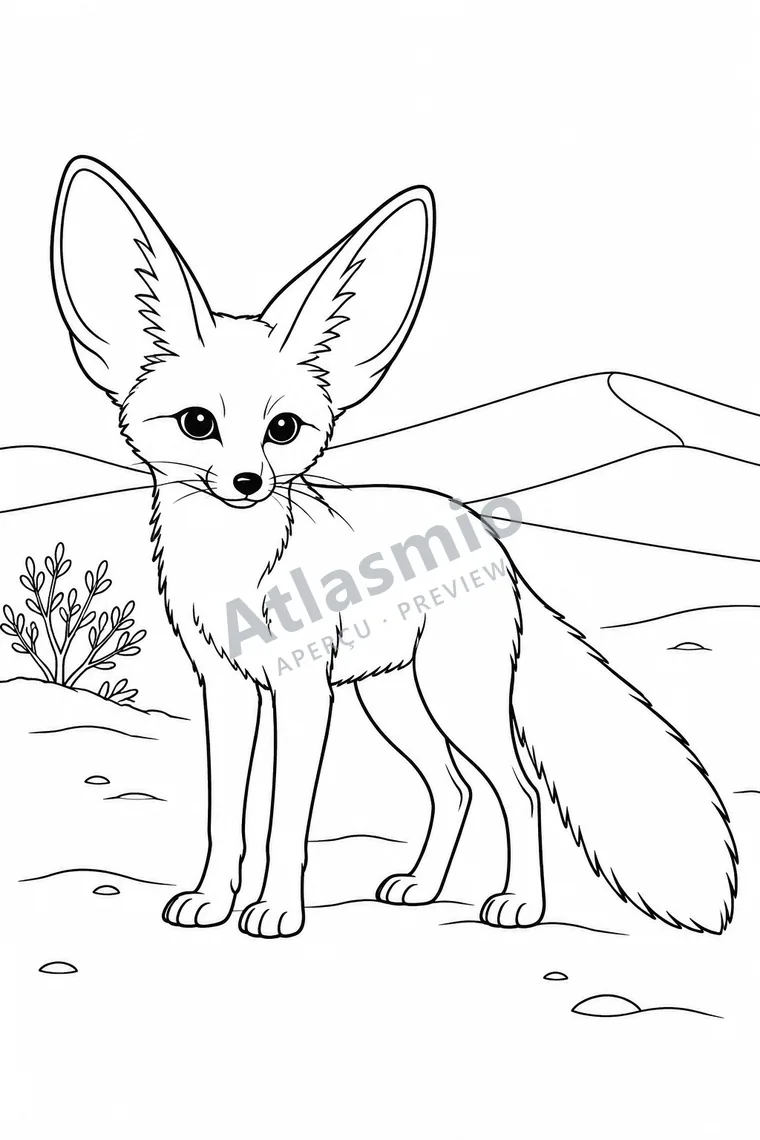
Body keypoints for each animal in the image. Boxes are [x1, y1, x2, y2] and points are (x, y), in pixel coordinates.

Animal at [50, 156, 737, 938]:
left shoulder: (302, 689)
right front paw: (212, 900)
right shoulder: (223, 689)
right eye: (197, 423)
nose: (249, 482)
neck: (235, 568)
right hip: (395, 701)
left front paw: (276, 910)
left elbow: (285, 819)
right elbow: (228, 816)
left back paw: (520, 905)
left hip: (454, 698)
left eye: (283, 429)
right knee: (454, 789)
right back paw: (422, 888)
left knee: (519, 790)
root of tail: (484, 535)